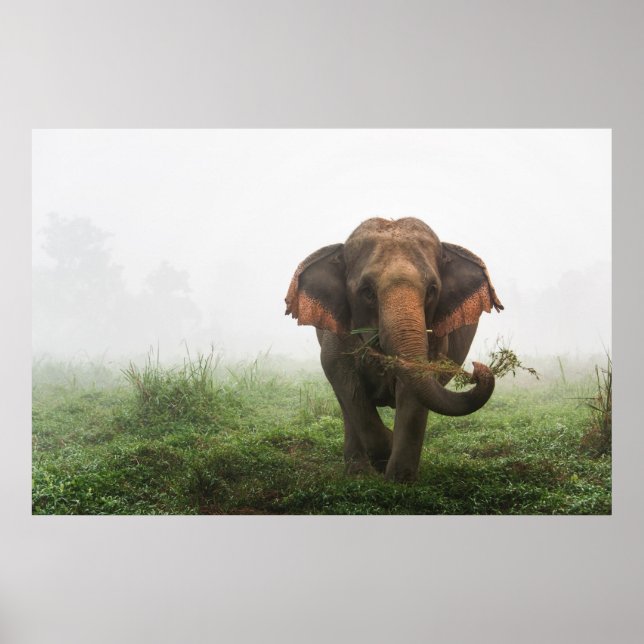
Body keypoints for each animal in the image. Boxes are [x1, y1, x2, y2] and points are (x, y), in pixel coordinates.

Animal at [285, 217, 503, 482]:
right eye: (367, 291)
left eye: (432, 290)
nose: (478, 369)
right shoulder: (335, 334)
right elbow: (342, 377)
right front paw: (384, 454)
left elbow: (413, 388)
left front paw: (400, 480)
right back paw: (357, 472)